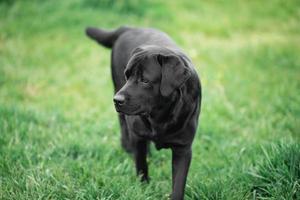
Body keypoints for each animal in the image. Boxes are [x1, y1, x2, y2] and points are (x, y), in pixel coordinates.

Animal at [85, 26, 202, 200]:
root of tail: (128, 27)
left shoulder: (183, 148)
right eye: (127, 76)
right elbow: (141, 166)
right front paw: (144, 188)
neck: (160, 116)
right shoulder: (138, 136)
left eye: (145, 80)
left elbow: (178, 183)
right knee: (123, 126)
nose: (117, 100)